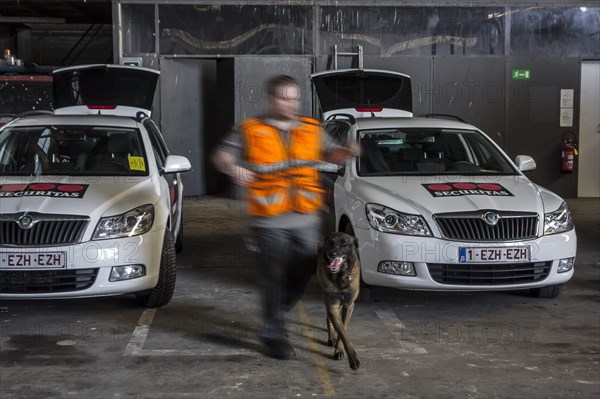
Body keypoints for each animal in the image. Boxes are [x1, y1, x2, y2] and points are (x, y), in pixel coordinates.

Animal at [316, 231, 364, 372]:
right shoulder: (332, 305)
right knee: (328, 318)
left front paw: (339, 350)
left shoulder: (349, 305)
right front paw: (352, 358)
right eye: (331, 243)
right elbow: (342, 332)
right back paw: (331, 336)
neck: (340, 277)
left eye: (344, 244)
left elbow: (344, 328)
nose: (332, 254)